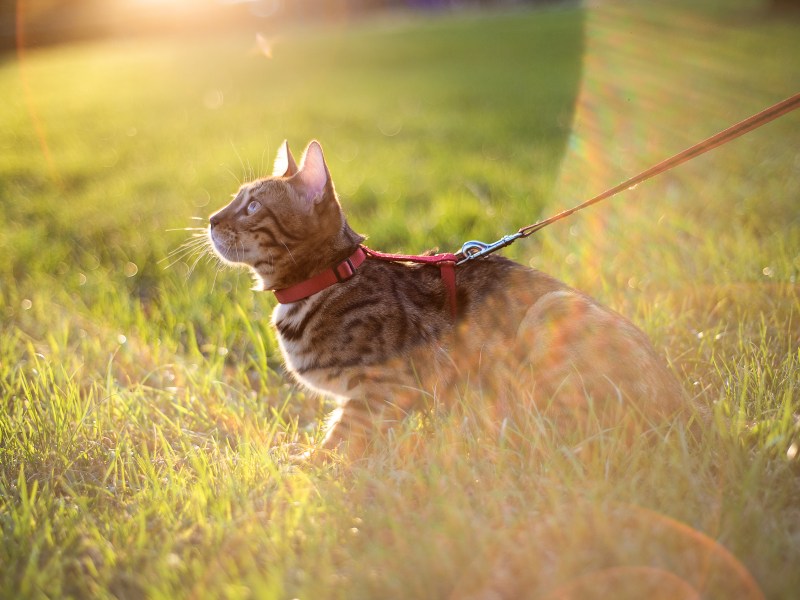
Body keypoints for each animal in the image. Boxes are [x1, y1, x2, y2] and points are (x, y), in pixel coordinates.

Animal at [208, 141, 688, 460]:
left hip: (548, 314)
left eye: (252, 206)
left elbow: (343, 438)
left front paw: (308, 467)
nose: (211, 218)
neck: (327, 280)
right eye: (234, 199)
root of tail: (680, 401)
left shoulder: (387, 384)